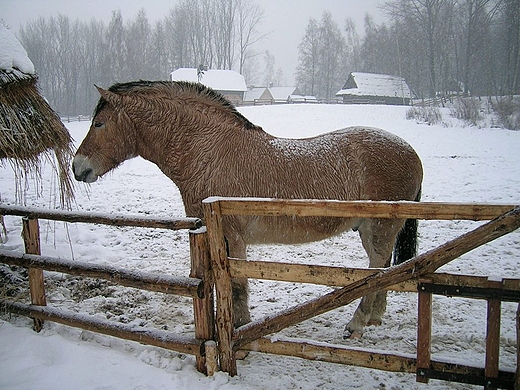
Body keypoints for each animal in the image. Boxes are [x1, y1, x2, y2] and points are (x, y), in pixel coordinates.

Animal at [73, 81, 422, 338]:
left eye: (99, 123)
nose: (78, 168)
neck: (209, 151)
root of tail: (411, 152)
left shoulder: (232, 238)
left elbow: (237, 286)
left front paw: (239, 329)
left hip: (379, 230)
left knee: (377, 270)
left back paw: (357, 323)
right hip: (370, 230)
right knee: (384, 268)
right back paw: (374, 318)